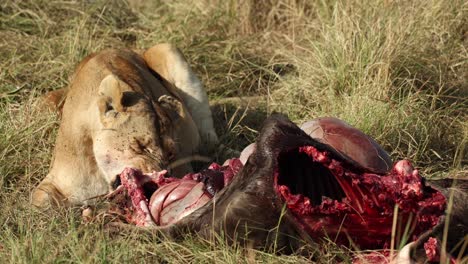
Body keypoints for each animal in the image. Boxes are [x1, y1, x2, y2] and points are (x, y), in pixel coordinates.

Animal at [33, 43, 219, 208]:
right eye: (139, 145)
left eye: (171, 153)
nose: (159, 177)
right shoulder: (55, 182)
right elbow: (40, 201)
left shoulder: (183, 166)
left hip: (167, 48)